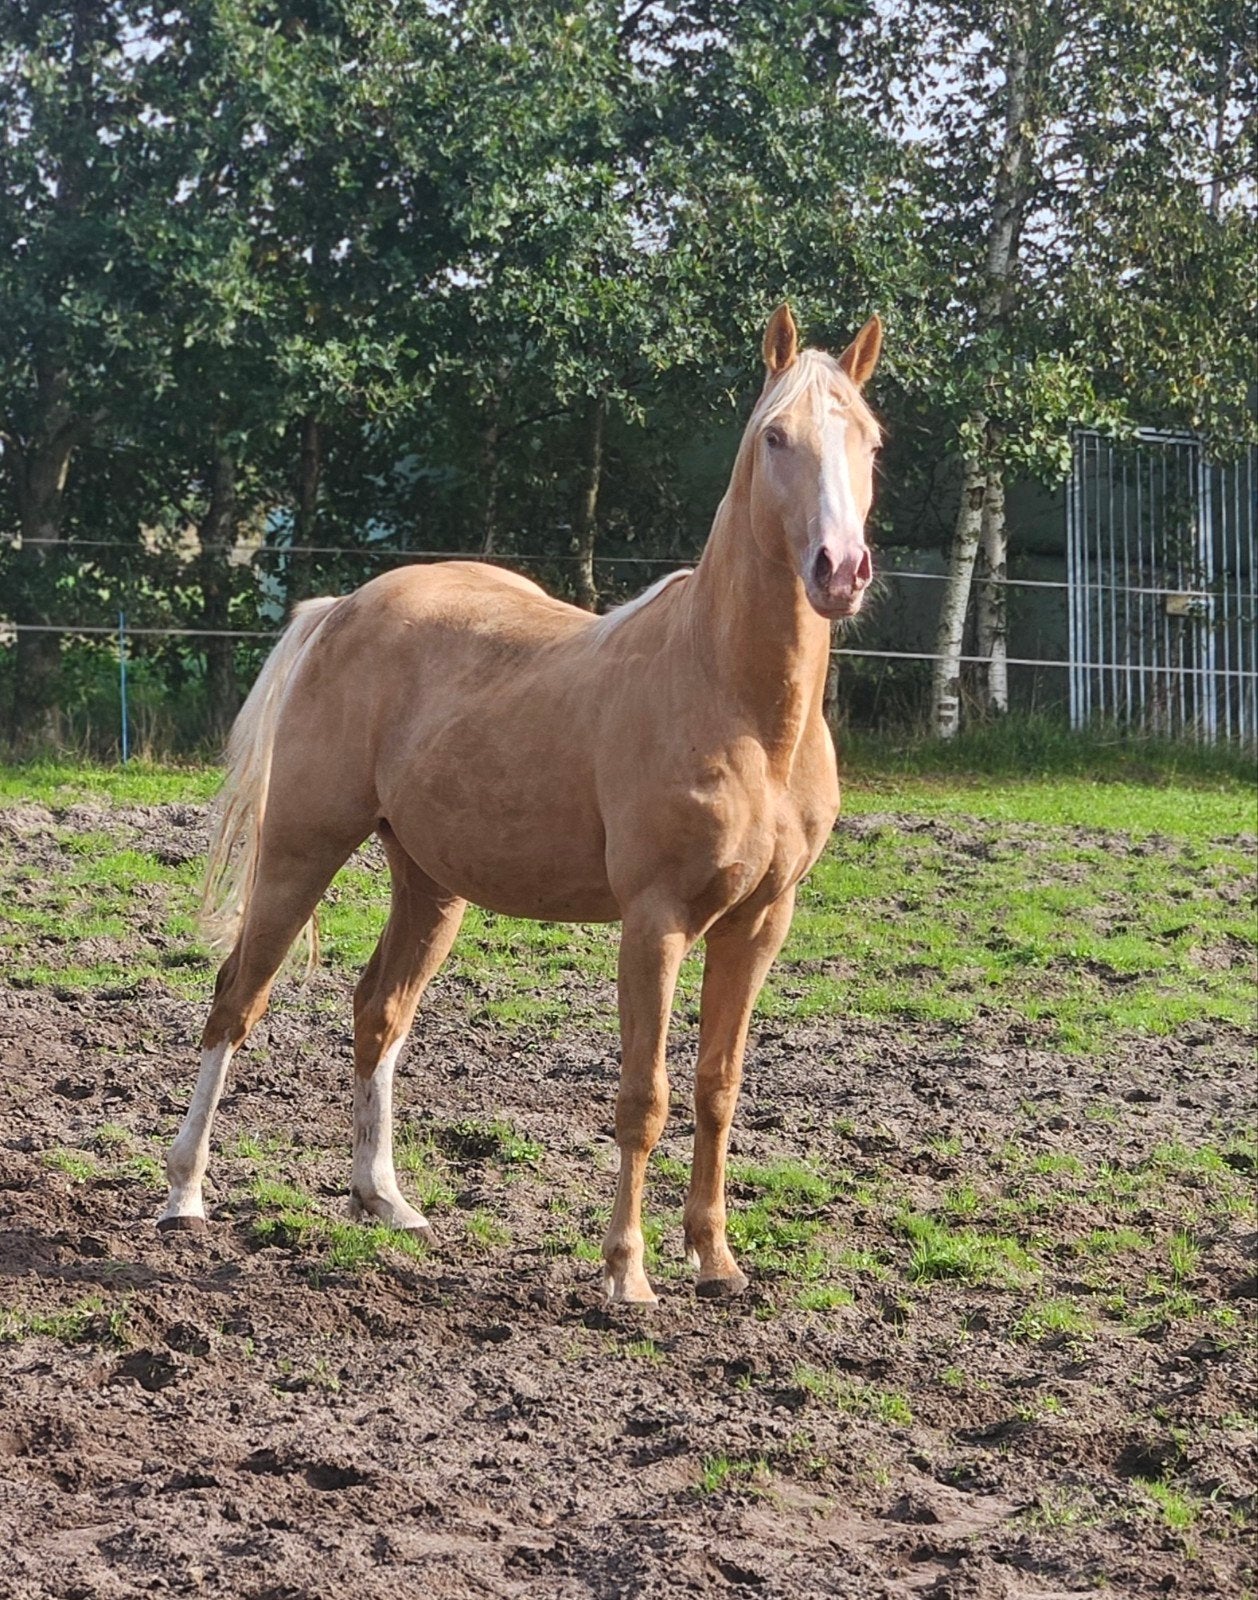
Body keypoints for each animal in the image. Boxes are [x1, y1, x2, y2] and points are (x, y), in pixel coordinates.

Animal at [158, 304, 883, 1304]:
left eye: (870, 441)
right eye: (776, 437)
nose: (839, 568)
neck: (734, 698)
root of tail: (343, 606)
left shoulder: (760, 921)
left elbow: (719, 1086)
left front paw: (715, 1259)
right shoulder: (655, 921)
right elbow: (645, 1096)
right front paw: (627, 1273)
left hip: (430, 882)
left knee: (379, 1012)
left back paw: (385, 1200)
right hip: (303, 849)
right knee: (236, 999)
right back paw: (184, 1196)